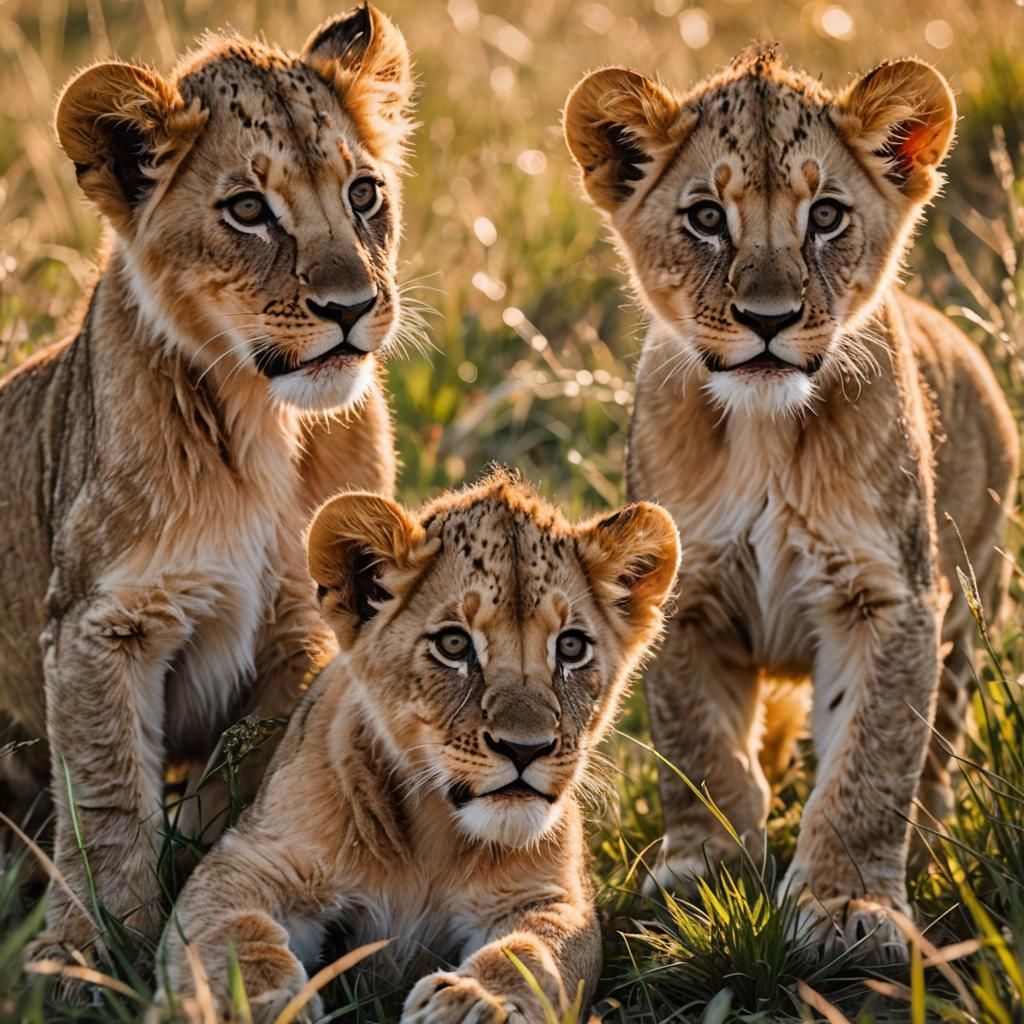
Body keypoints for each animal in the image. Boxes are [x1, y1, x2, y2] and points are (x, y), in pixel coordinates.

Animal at [0, 3, 415, 963]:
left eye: (363, 194)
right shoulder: (99, 624)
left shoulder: (305, 623)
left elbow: (235, 787)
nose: (351, 308)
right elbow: (109, 803)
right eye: (248, 210)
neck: (260, 424)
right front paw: (93, 958)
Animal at [158, 470, 680, 1022]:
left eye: (571, 647)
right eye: (454, 645)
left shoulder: (555, 897)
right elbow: (226, 930)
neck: (433, 839)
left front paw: (476, 1003)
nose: (525, 749)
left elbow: (535, 952)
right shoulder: (255, 857)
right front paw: (245, 1001)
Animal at [564, 48, 1018, 959]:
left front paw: (848, 906)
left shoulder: (889, 598)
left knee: (940, 738)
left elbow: (870, 762)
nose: (767, 319)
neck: (766, 434)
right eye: (707, 217)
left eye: (828, 215)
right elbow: (700, 749)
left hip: (970, 597)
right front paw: (705, 872)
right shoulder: (683, 594)